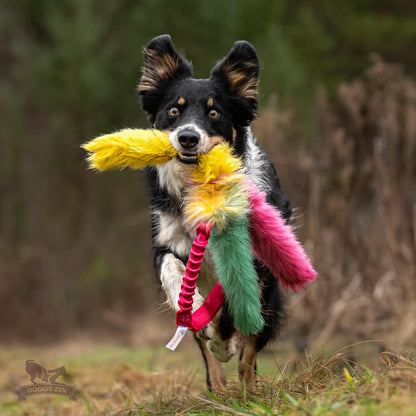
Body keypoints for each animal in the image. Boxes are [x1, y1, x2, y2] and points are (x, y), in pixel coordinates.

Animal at [138, 35, 290, 390]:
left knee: (251, 347)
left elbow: (234, 307)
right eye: (174, 110)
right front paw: (194, 308)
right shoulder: (165, 241)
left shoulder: (255, 256)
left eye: (214, 112)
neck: (199, 189)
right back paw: (218, 387)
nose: (187, 137)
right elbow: (173, 274)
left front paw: (224, 342)